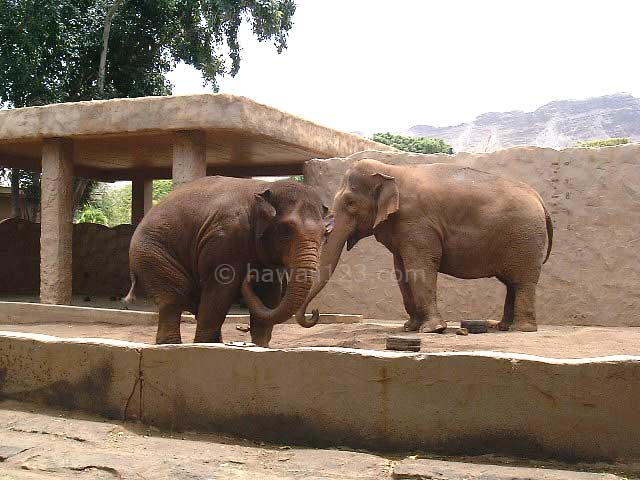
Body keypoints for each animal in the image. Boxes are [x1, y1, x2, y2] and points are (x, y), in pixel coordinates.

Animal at [124, 175, 330, 344]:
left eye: (325, 234)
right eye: (287, 230)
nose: (315, 312)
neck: (265, 187)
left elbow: (269, 294)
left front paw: (260, 346)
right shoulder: (225, 239)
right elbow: (220, 292)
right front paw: (203, 346)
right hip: (151, 254)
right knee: (173, 299)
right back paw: (172, 344)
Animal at [294, 159, 552, 332]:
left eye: (350, 203)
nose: (315, 313)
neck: (391, 170)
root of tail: (540, 199)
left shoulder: (416, 222)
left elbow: (420, 267)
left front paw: (432, 330)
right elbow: (401, 270)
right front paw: (410, 328)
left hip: (525, 237)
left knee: (522, 282)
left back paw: (521, 329)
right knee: (511, 283)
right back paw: (502, 326)